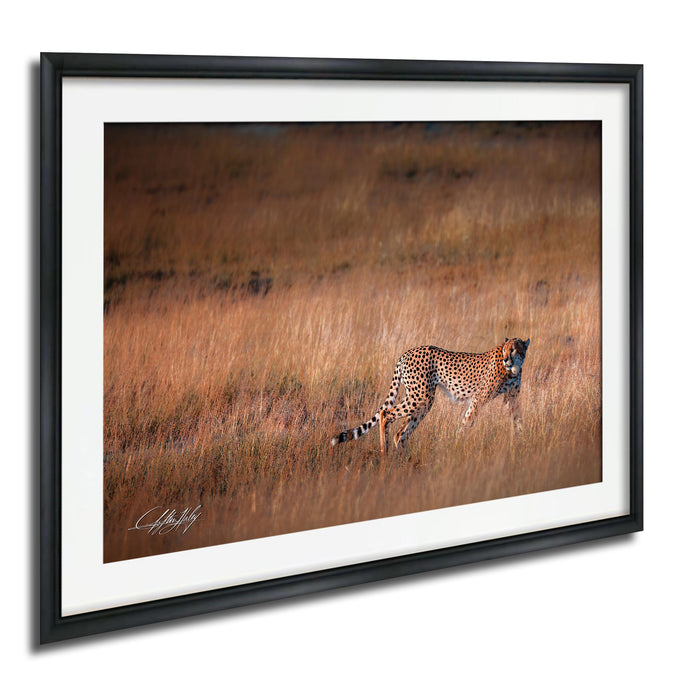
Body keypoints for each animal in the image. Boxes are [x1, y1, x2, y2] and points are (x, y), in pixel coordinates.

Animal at [330, 337, 530, 454]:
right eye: (504, 350)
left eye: (513, 349)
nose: (505, 359)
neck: (513, 368)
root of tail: (406, 353)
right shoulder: (478, 399)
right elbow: (467, 423)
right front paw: (457, 445)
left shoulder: (512, 398)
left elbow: (518, 420)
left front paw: (522, 443)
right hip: (421, 397)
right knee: (385, 414)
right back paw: (384, 451)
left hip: (420, 399)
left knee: (400, 433)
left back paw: (403, 459)